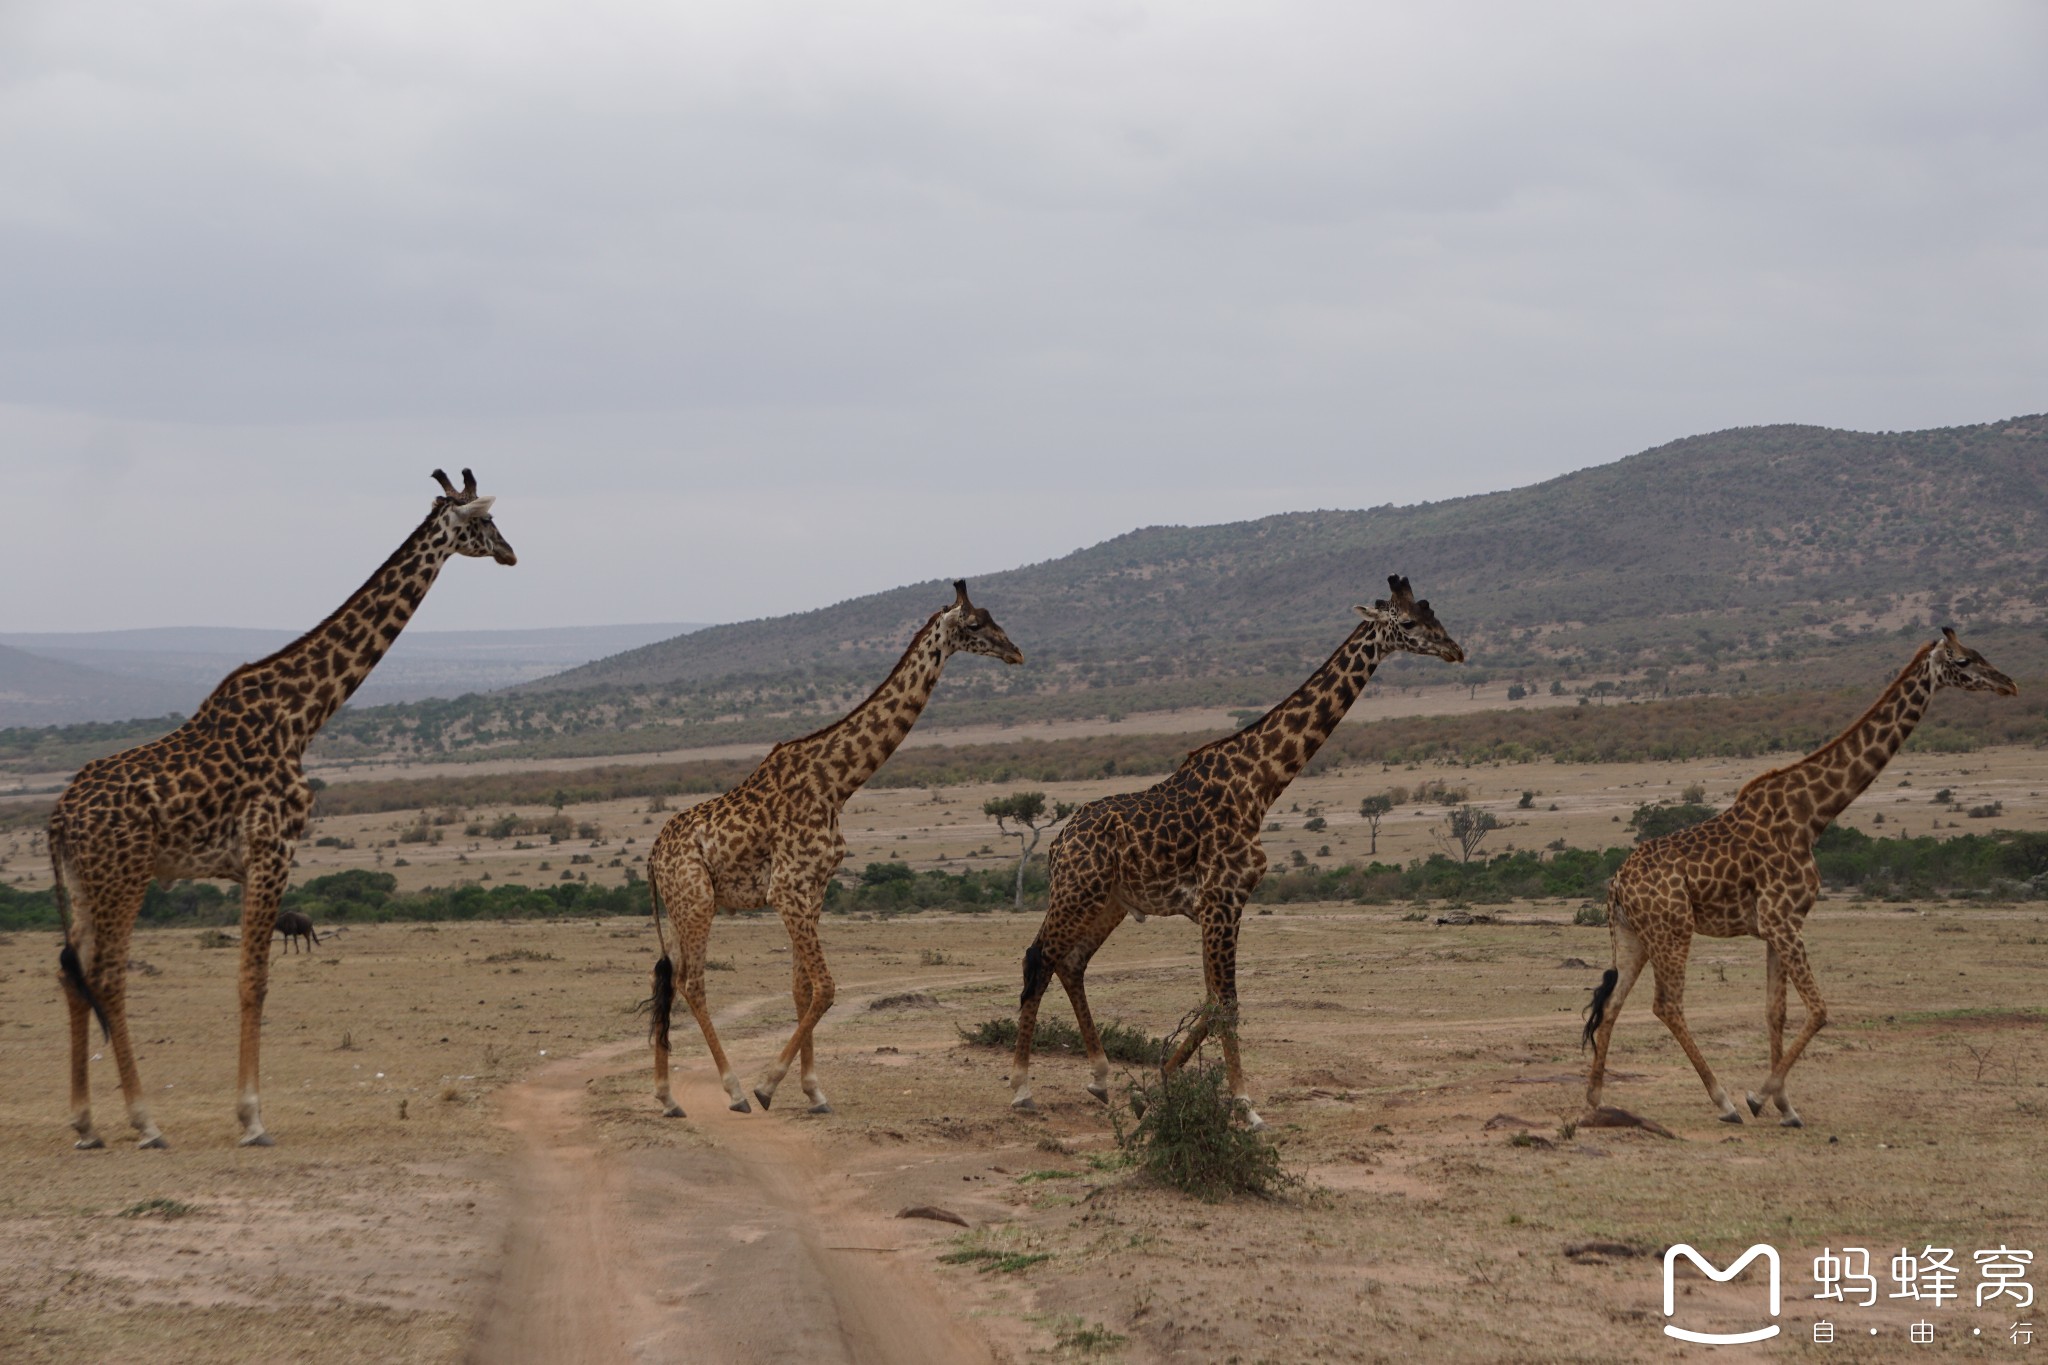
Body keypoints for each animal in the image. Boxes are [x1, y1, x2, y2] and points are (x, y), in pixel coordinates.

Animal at [51, 464, 516, 1146]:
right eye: (483, 522)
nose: (511, 553)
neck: (303, 716)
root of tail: (58, 817)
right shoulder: (273, 850)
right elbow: (255, 980)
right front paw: (252, 1118)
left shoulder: (250, 863)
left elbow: (252, 976)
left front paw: (246, 1113)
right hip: (124, 876)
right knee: (107, 975)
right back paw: (145, 1121)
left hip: (85, 882)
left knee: (72, 971)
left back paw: (86, 1122)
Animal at [643, 581, 1019, 1113]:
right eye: (973, 624)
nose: (1016, 652)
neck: (838, 783)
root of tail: (653, 856)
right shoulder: (788, 889)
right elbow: (826, 987)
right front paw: (768, 1085)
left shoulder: (815, 888)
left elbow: (802, 989)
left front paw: (813, 1090)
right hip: (696, 902)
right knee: (691, 982)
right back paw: (733, 1089)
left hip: (681, 908)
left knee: (665, 980)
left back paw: (667, 1097)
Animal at [1003, 573, 1458, 1129]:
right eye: (1410, 622)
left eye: (1435, 614)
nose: (1456, 650)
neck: (1262, 783)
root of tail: (1056, 843)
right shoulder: (1224, 897)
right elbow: (1227, 1002)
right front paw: (1244, 1105)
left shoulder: (1218, 904)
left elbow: (1211, 999)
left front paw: (1158, 1083)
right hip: (1076, 892)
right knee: (1037, 958)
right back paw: (1022, 1089)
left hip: (1109, 903)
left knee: (1070, 963)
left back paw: (1100, 1078)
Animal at [1581, 626, 2015, 1121]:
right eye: (1963, 661)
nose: (2008, 684)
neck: (1813, 814)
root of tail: (1617, 883)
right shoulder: (1783, 920)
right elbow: (1820, 1010)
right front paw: (1758, 1097)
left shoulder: (1776, 926)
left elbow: (1777, 1012)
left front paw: (1785, 1106)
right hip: (1672, 929)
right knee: (1667, 1005)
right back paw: (1723, 1100)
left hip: (1632, 935)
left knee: (1612, 1005)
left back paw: (1595, 1098)